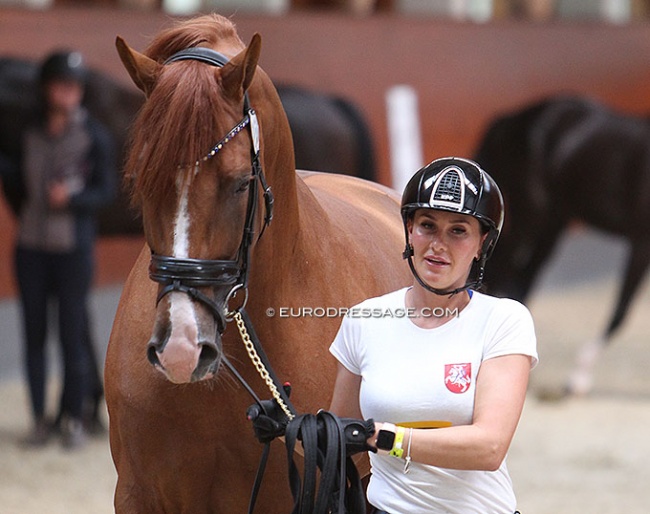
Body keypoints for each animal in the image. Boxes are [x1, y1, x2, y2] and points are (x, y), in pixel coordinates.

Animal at [470, 94, 648, 394]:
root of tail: (509, 119)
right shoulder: (640, 240)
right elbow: (621, 310)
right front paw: (578, 378)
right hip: (529, 219)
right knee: (504, 276)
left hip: (552, 225)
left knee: (519, 282)